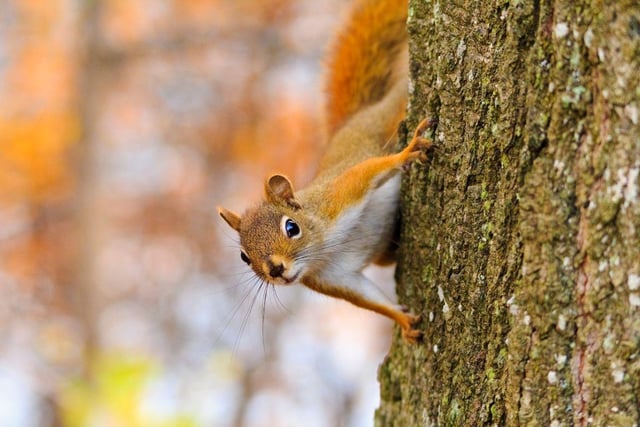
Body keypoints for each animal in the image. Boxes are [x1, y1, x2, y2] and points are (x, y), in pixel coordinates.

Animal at [218, 0, 432, 342]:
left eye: (291, 228)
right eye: (244, 257)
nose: (275, 270)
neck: (323, 249)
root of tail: (349, 123)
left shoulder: (339, 196)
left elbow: (368, 172)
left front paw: (407, 152)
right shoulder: (333, 278)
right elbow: (369, 299)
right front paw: (403, 321)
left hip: (383, 119)